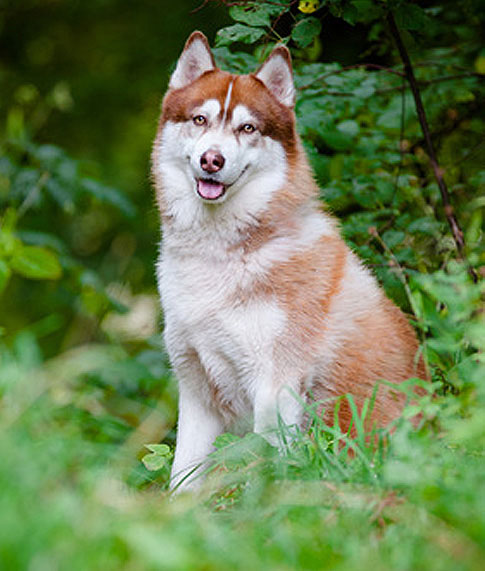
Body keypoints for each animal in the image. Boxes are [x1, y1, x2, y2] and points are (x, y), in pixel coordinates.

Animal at [152, 31, 424, 490]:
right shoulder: (195, 389)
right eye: (200, 120)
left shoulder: (274, 388)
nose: (212, 160)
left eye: (247, 128)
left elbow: (263, 469)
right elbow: (181, 479)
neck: (219, 255)